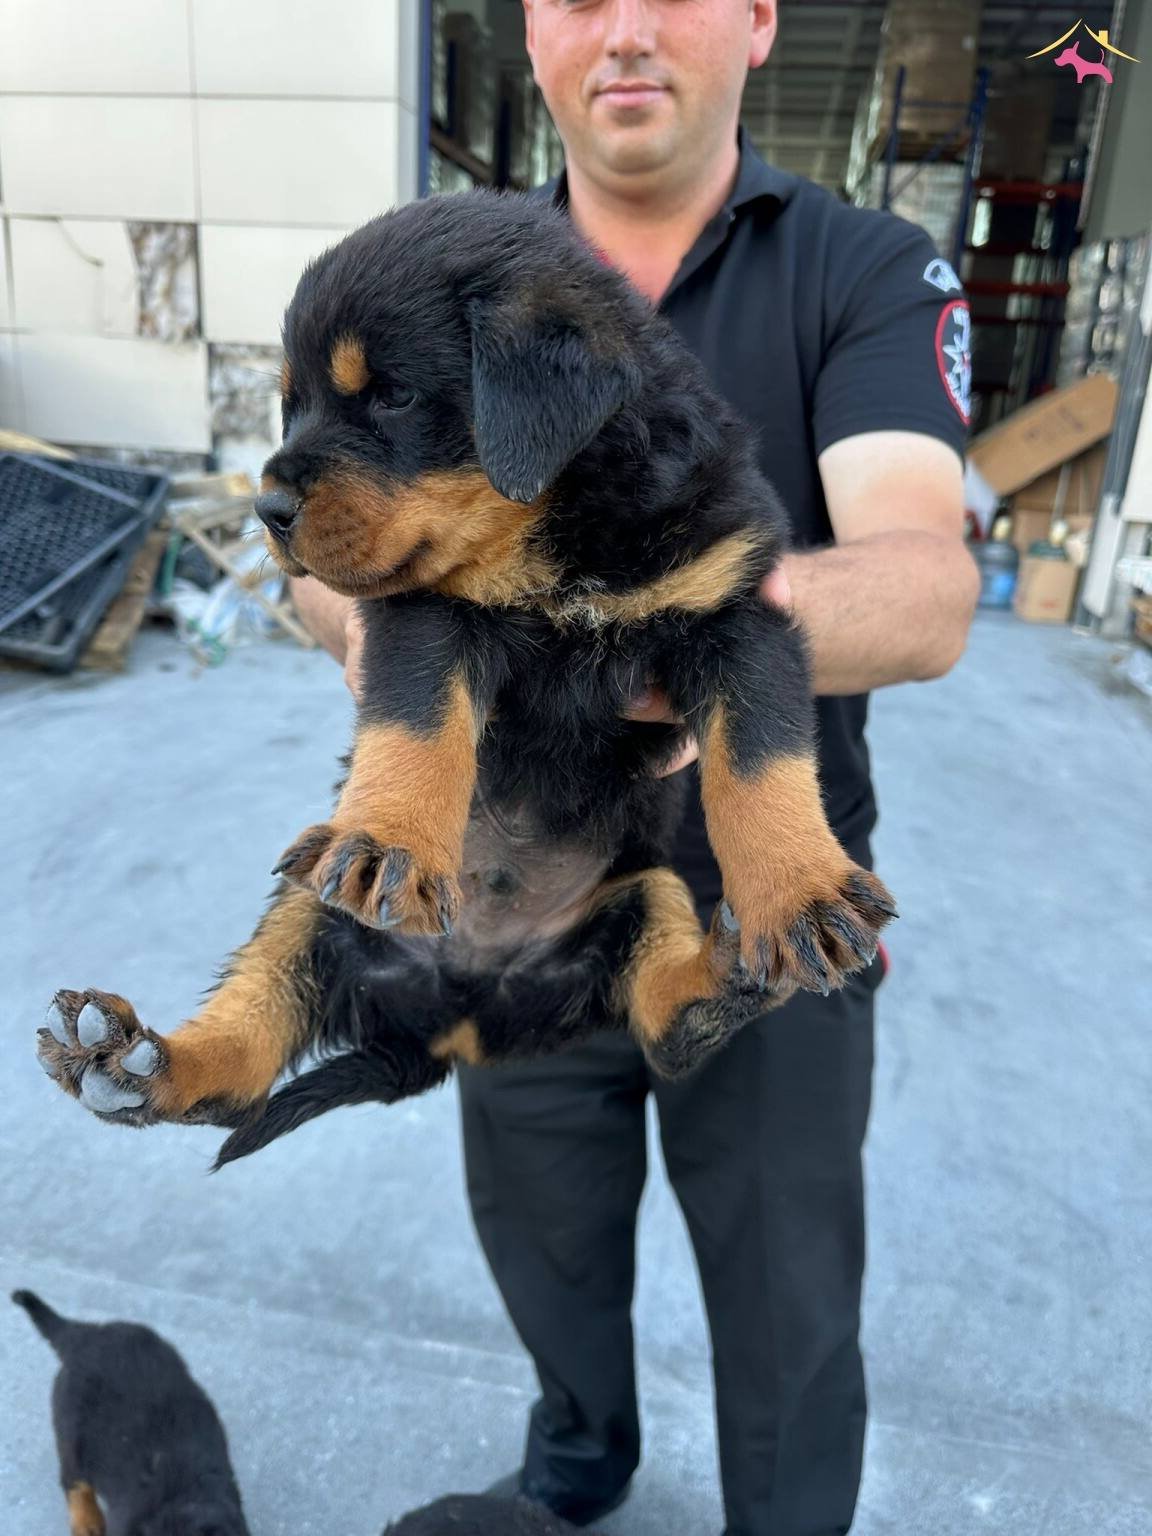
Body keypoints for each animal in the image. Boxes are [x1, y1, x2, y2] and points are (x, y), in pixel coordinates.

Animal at [36, 189, 895, 1165]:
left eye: (392, 396)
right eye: (292, 406)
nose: (268, 509)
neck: (562, 533)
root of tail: (461, 1022)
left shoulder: (739, 611)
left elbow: (761, 758)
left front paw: (798, 893)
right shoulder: (424, 614)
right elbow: (418, 723)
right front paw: (391, 841)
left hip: (641, 896)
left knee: (667, 1027)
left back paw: (731, 972)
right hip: (307, 900)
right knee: (247, 1041)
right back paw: (133, 1061)